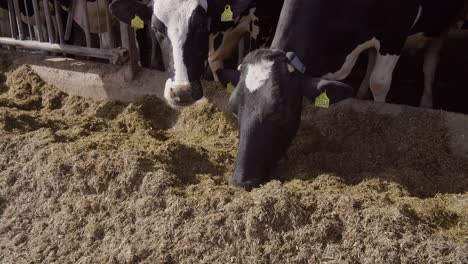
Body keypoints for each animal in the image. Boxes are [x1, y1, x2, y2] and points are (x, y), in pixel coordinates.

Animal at [220, 0, 468, 190]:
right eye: (233, 110)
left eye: (279, 114)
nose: (240, 181)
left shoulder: (395, 32)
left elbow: (380, 83)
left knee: (430, 62)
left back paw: (426, 103)